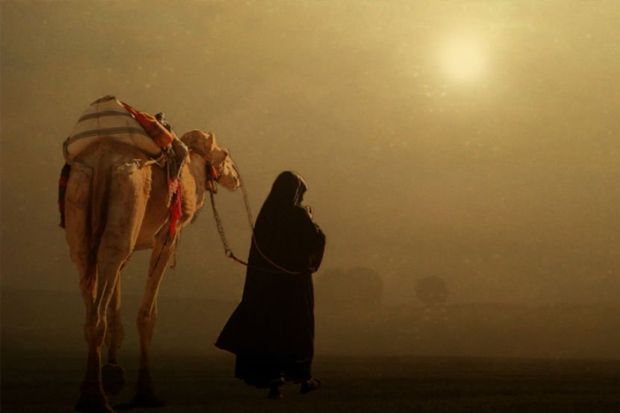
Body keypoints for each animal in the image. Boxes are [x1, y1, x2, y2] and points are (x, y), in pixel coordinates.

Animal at [63, 130, 240, 412]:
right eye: (224, 154)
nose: (235, 178)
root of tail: (102, 160)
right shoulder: (168, 235)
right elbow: (147, 314)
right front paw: (146, 392)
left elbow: (116, 303)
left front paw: (114, 373)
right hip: (129, 194)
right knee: (105, 286)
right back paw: (96, 398)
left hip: (81, 209)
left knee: (92, 285)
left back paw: (89, 392)